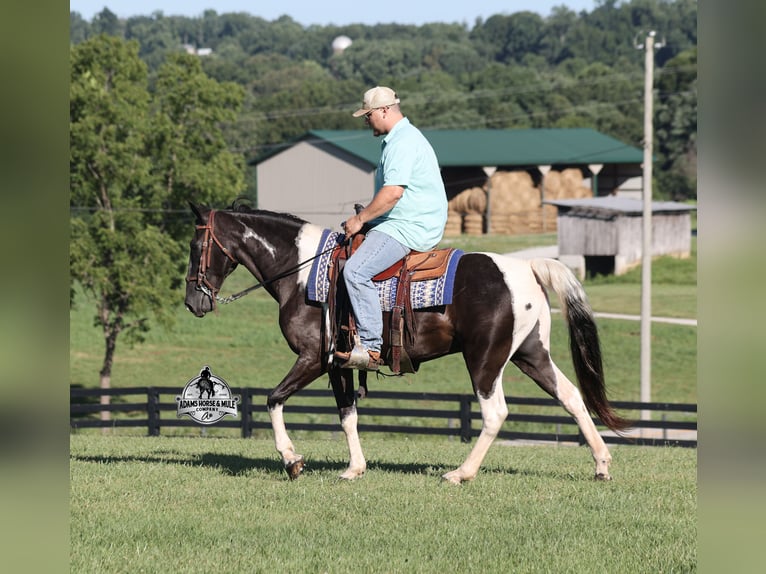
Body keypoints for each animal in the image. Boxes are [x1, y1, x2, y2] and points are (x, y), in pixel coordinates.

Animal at [184, 202, 631, 484]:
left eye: (194, 246)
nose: (193, 302)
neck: (302, 272)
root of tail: (525, 268)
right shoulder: (338, 364)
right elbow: (347, 415)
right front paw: (354, 469)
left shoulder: (312, 359)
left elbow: (273, 399)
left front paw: (292, 460)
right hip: (531, 354)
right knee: (572, 397)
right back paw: (602, 464)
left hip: (485, 360)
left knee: (495, 414)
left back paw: (461, 474)